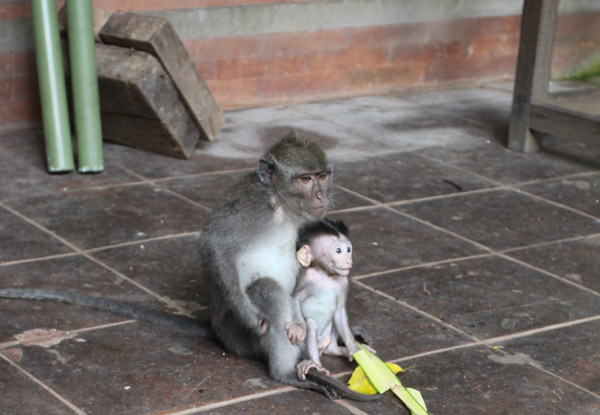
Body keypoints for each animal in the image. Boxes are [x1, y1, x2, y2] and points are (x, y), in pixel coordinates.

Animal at [289, 218, 376, 382]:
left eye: (348, 249)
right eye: (338, 251)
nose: (348, 261)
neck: (327, 276)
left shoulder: (343, 282)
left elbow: (340, 312)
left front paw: (353, 348)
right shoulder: (308, 279)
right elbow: (295, 299)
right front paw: (298, 328)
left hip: (326, 337)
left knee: (335, 319)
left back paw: (337, 350)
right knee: (311, 323)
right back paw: (313, 363)